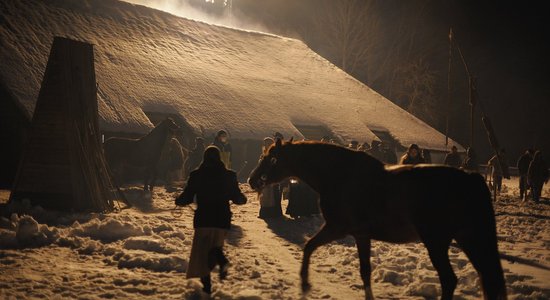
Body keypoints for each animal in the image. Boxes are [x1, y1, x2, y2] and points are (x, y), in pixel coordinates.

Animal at [250, 139, 508, 300]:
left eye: (271, 158)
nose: (253, 180)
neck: (339, 176)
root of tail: (471, 178)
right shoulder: (361, 235)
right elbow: (364, 270)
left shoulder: (336, 227)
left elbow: (309, 246)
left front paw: (304, 284)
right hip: (468, 238)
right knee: (487, 278)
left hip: (438, 241)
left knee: (450, 280)